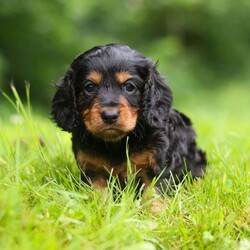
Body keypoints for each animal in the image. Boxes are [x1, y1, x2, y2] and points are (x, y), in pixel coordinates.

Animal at [51, 44, 207, 193]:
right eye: (89, 87)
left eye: (129, 86)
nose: (110, 116)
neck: (116, 143)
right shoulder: (93, 170)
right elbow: (99, 194)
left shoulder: (158, 165)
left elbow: (154, 192)